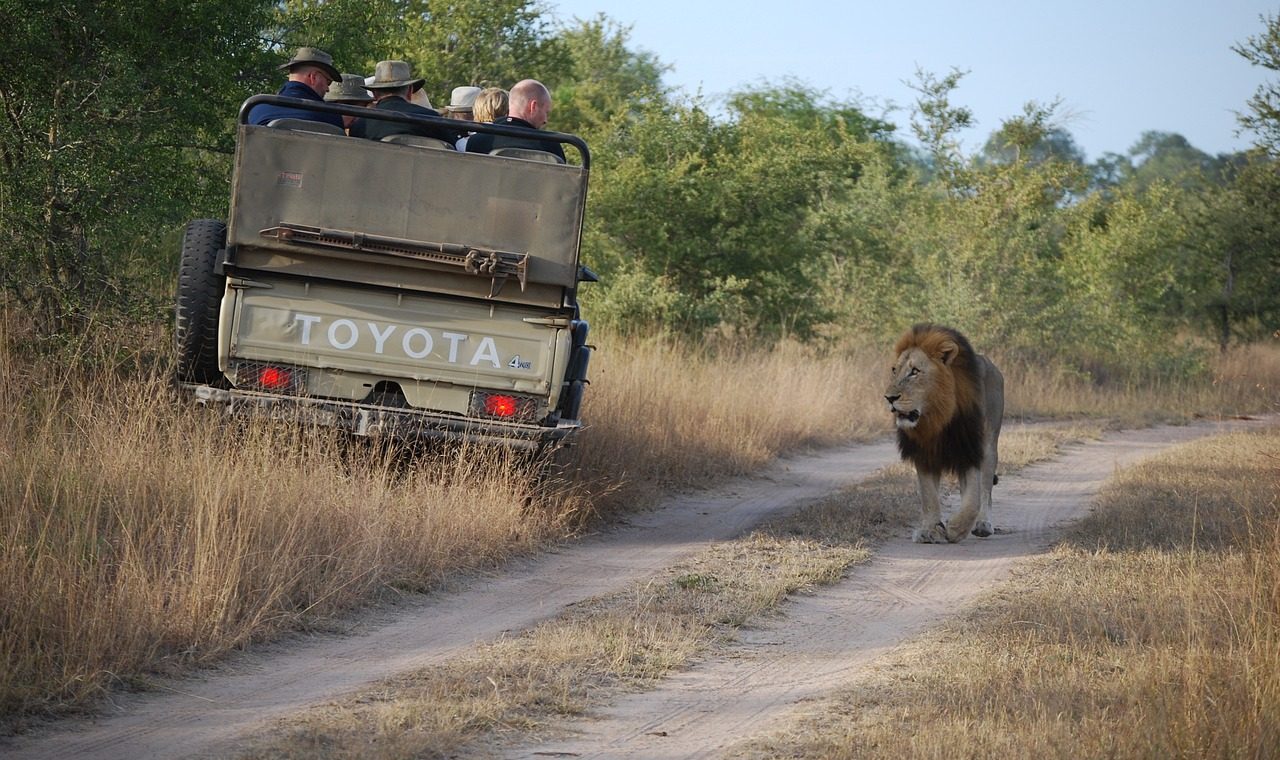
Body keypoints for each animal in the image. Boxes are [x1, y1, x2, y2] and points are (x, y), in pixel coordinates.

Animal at [885, 322, 1003, 542]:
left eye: (915, 371)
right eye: (894, 370)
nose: (889, 398)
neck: (937, 417)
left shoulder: (970, 447)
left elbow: (974, 498)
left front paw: (956, 528)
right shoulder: (924, 452)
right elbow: (928, 496)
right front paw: (929, 530)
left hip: (989, 445)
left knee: (985, 488)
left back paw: (982, 524)